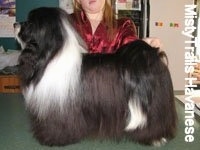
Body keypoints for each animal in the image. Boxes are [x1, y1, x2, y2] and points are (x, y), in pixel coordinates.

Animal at [13, 7, 177, 146]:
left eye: (30, 23)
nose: (15, 23)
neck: (50, 56)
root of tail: (151, 55)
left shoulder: (58, 107)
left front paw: (53, 139)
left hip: (153, 107)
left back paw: (154, 138)